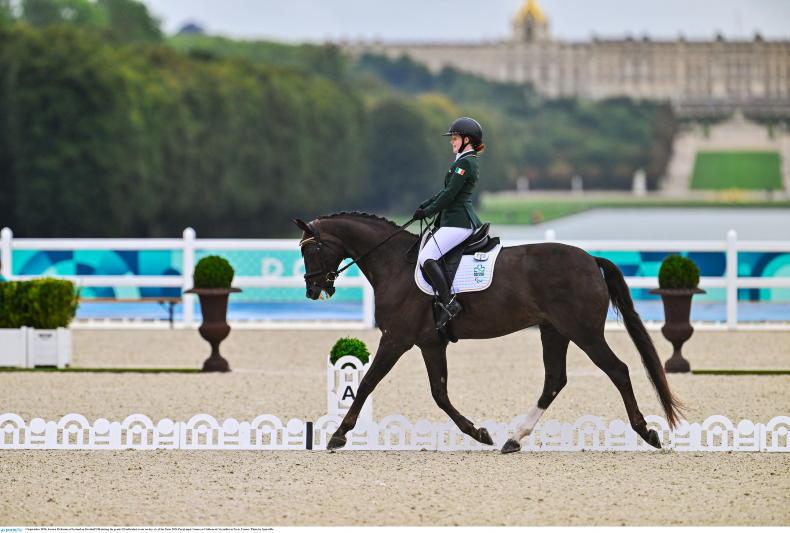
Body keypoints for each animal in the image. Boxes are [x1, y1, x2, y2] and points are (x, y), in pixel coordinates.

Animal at [294, 212, 684, 453]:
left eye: (311, 250)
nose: (313, 290)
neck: (394, 264)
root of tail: (591, 259)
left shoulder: (396, 339)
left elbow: (366, 383)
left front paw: (338, 436)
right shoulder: (429, 343)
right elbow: (440, 394)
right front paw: (480, 433)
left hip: (584, 332)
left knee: (618, 370)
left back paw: (646, 432)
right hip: (554, 332)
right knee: (555, 380)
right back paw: (514, 439)